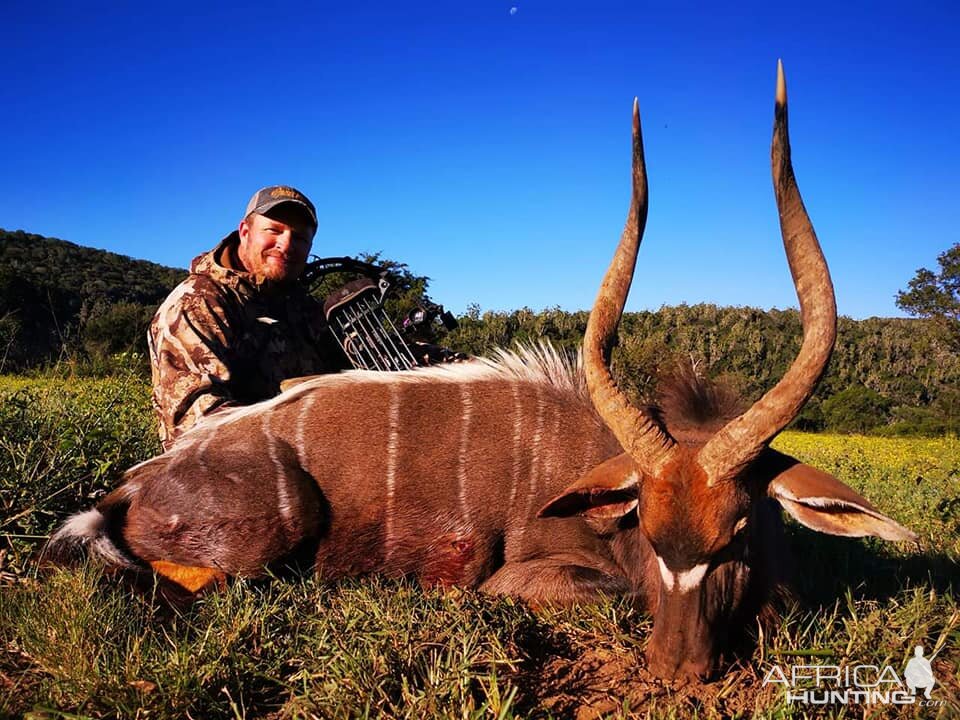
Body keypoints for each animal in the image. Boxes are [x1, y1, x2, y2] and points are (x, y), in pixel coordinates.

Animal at [45, 62, 916, 680]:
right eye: (647, 529)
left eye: (736, 531)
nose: (677, 670)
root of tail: (129, 488)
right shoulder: (531, 581)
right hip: (271, 532)